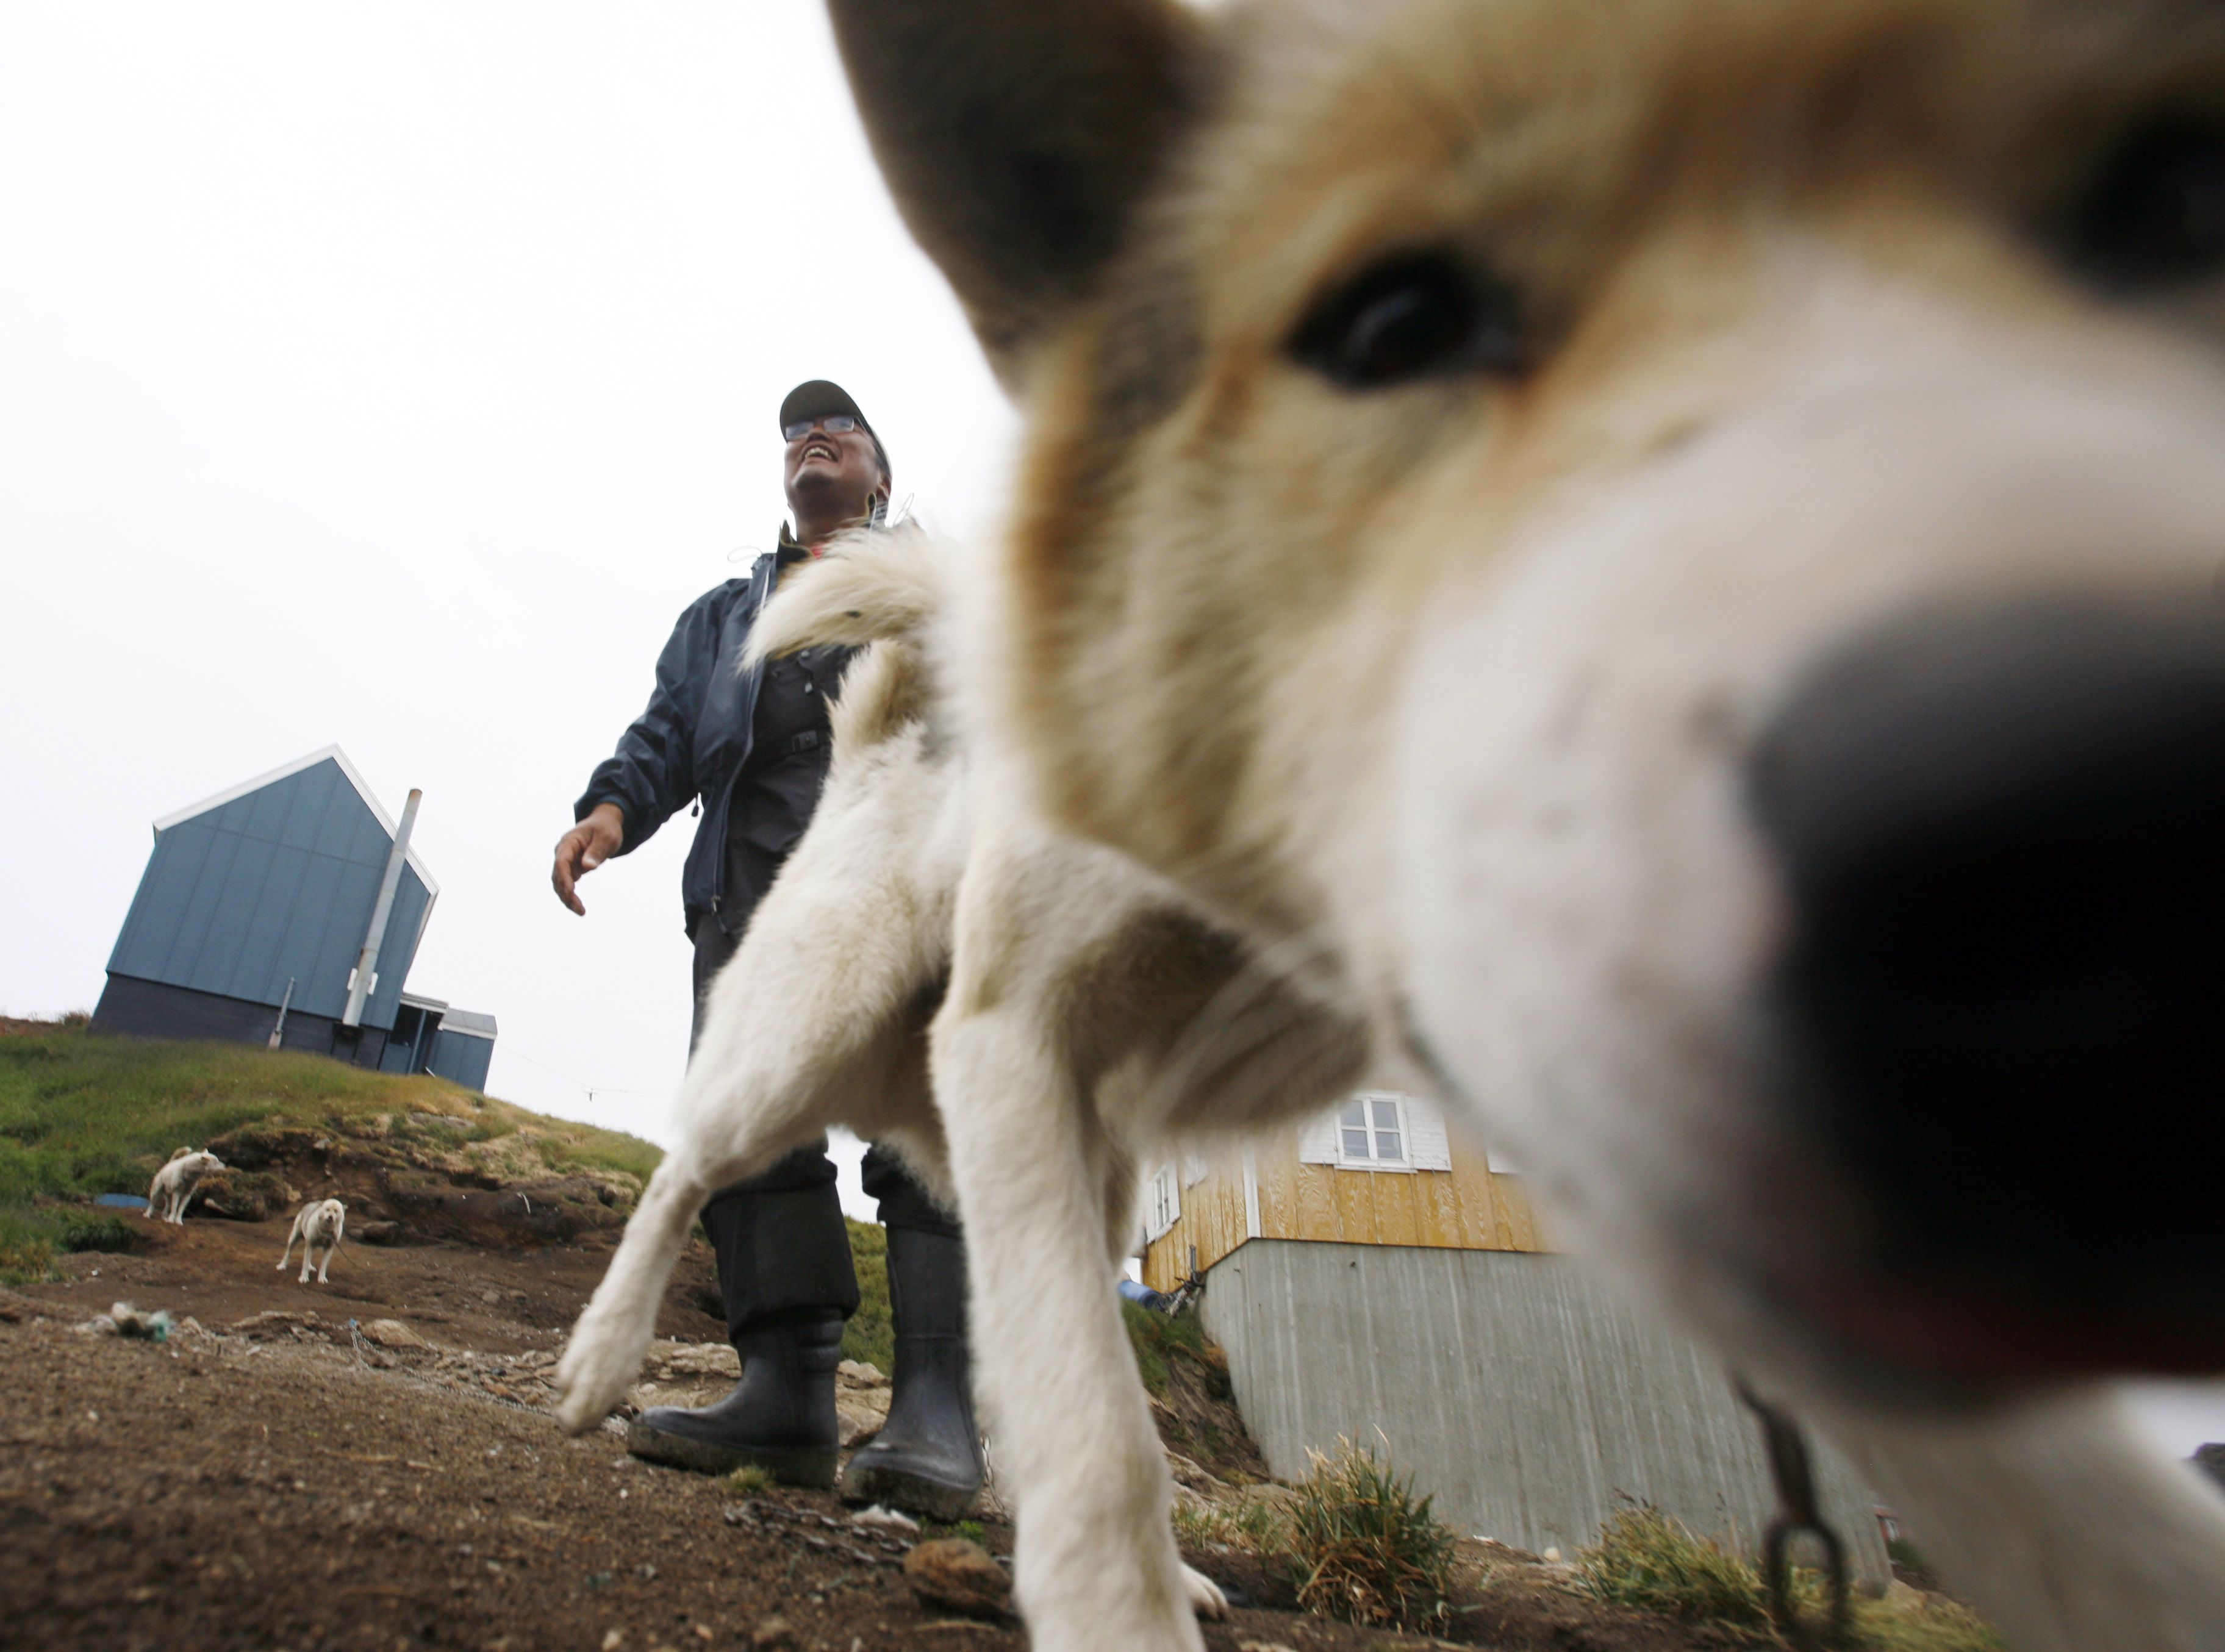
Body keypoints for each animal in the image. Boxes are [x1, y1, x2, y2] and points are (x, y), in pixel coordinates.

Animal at [143, 1147, 223, 1227]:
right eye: (216, 1163)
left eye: (218, 1160)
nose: (224, 1165)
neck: (189, 1175)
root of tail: (169, 1164)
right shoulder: (177, 1193)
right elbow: (174, 1209)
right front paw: (171, 1221)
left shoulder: (187, 1196)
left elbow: (180, 1211)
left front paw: (178, 1222)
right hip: (156, 1193)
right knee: (152, 1204)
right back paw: (147, 1215)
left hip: (169, 1197)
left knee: (166, 1208)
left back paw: (165, 1218)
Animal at [276, 1200, 345, 1289]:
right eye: (327, 1209)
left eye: (336, 1211)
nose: (330, 1217)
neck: (326, 1230)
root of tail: (312, 1203)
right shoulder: (310, 1244)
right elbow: (305, 1263)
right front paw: (304, 1278)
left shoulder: (328, 1249)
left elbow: (323, 1266)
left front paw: (322, 1278)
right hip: (295, 1238)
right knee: (288, 1252)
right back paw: (282, 1266)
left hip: (312, 1246)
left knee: (309, 1258)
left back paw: (310, 1267)